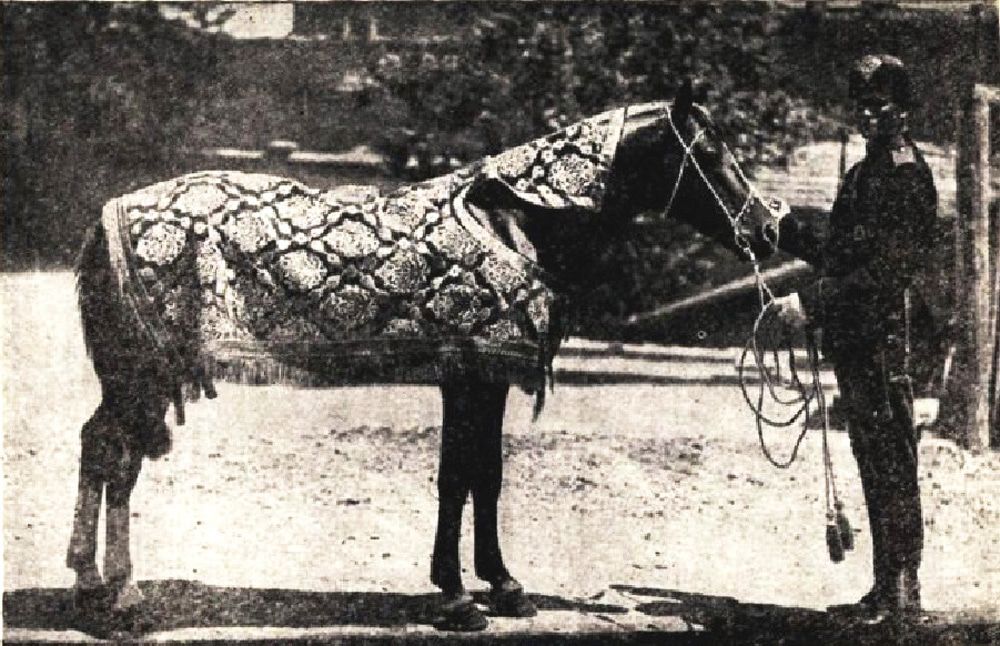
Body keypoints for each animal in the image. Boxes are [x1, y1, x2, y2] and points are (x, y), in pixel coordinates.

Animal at [69, 82, 784, 632]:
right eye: (709, 153)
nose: (767, 228)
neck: (516, 223)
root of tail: (108, 214)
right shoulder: (471, 373)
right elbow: (459, 477)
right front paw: (459, 596)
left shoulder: (482, 376)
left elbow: (484, 474)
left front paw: (502, 586)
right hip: (141, 375)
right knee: (117, 458)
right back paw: (122, 597)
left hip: (134, 378)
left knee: (99, 445)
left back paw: (88, 582)